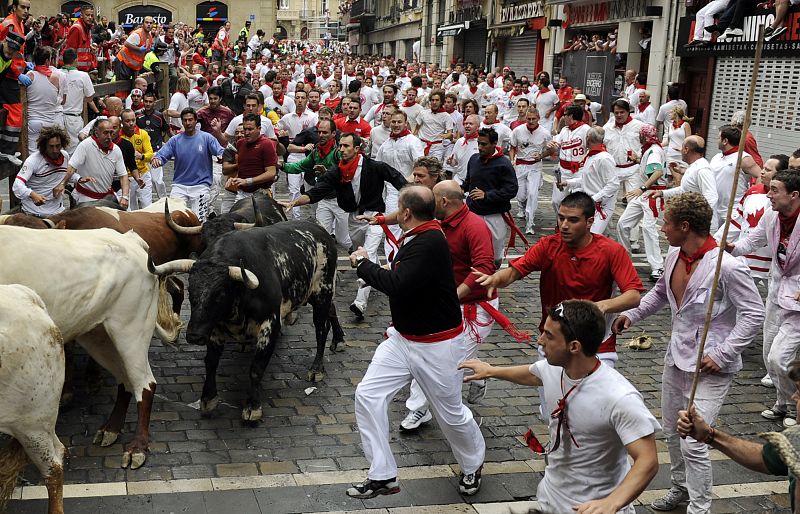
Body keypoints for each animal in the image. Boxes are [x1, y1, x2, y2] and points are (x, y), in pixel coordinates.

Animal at [0, 224, 181, 468]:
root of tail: (130, 239)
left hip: (131, 329)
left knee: (145, 384)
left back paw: (138, 448)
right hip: (97, 335)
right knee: (125, 379)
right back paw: (111, 429)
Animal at [152, 220, 346, 420]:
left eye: (220, 294)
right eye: (191, 290)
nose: (194, 336)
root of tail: (320, 230)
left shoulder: (270, 326)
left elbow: (256, 369)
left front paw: (253, 406)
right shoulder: (214, 328)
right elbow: (211, 363)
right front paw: (208, 399)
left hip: (323, 291)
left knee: (321, 329)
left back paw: (316, 369)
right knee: (332, 311)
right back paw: (338, 340)